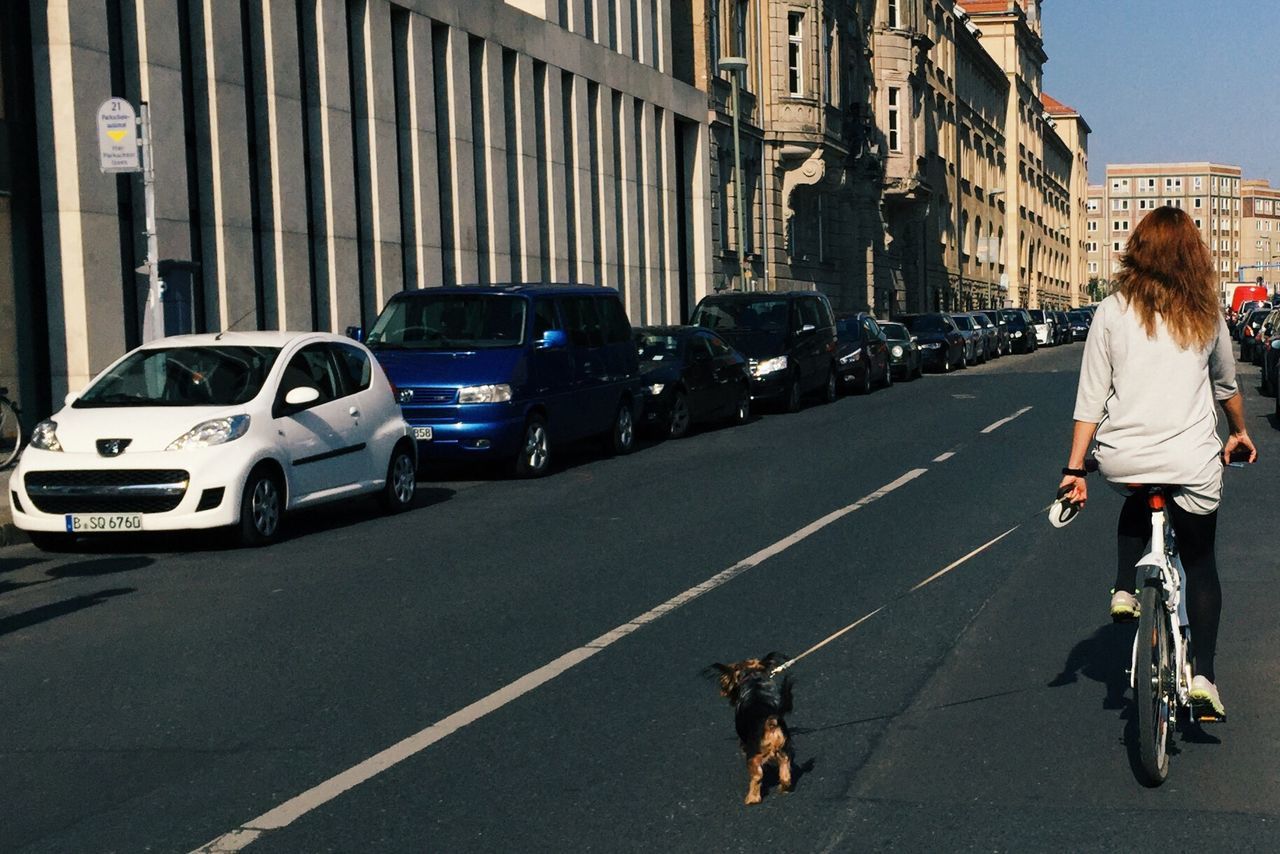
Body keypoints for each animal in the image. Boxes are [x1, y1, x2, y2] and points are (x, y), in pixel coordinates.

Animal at [711, 655, 788, 809]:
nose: (722, 692)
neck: (753, 681)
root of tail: (770, 724)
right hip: (781, 747)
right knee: (785, 760)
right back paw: (785, 784)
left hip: (754, 754)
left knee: (757, 775)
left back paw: (752, 798)